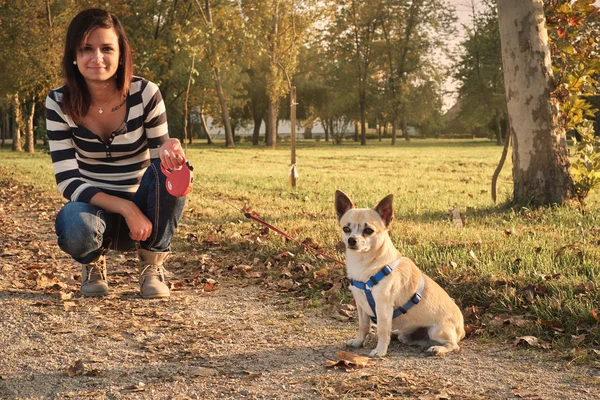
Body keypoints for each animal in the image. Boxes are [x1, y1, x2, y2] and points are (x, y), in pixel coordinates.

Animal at [336, 191, 466, 356]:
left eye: (368, 231)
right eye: (346, 229)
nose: (352, 240)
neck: (364, 264)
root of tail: (462, 329)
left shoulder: (383, 307)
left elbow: (382, 330)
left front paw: (380, 350)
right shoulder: (361, 305)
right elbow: (363, 326)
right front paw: (359, 342)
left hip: (437, 331)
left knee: (454, 345)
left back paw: (438, 349)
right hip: (411, 333)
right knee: (409, 338)